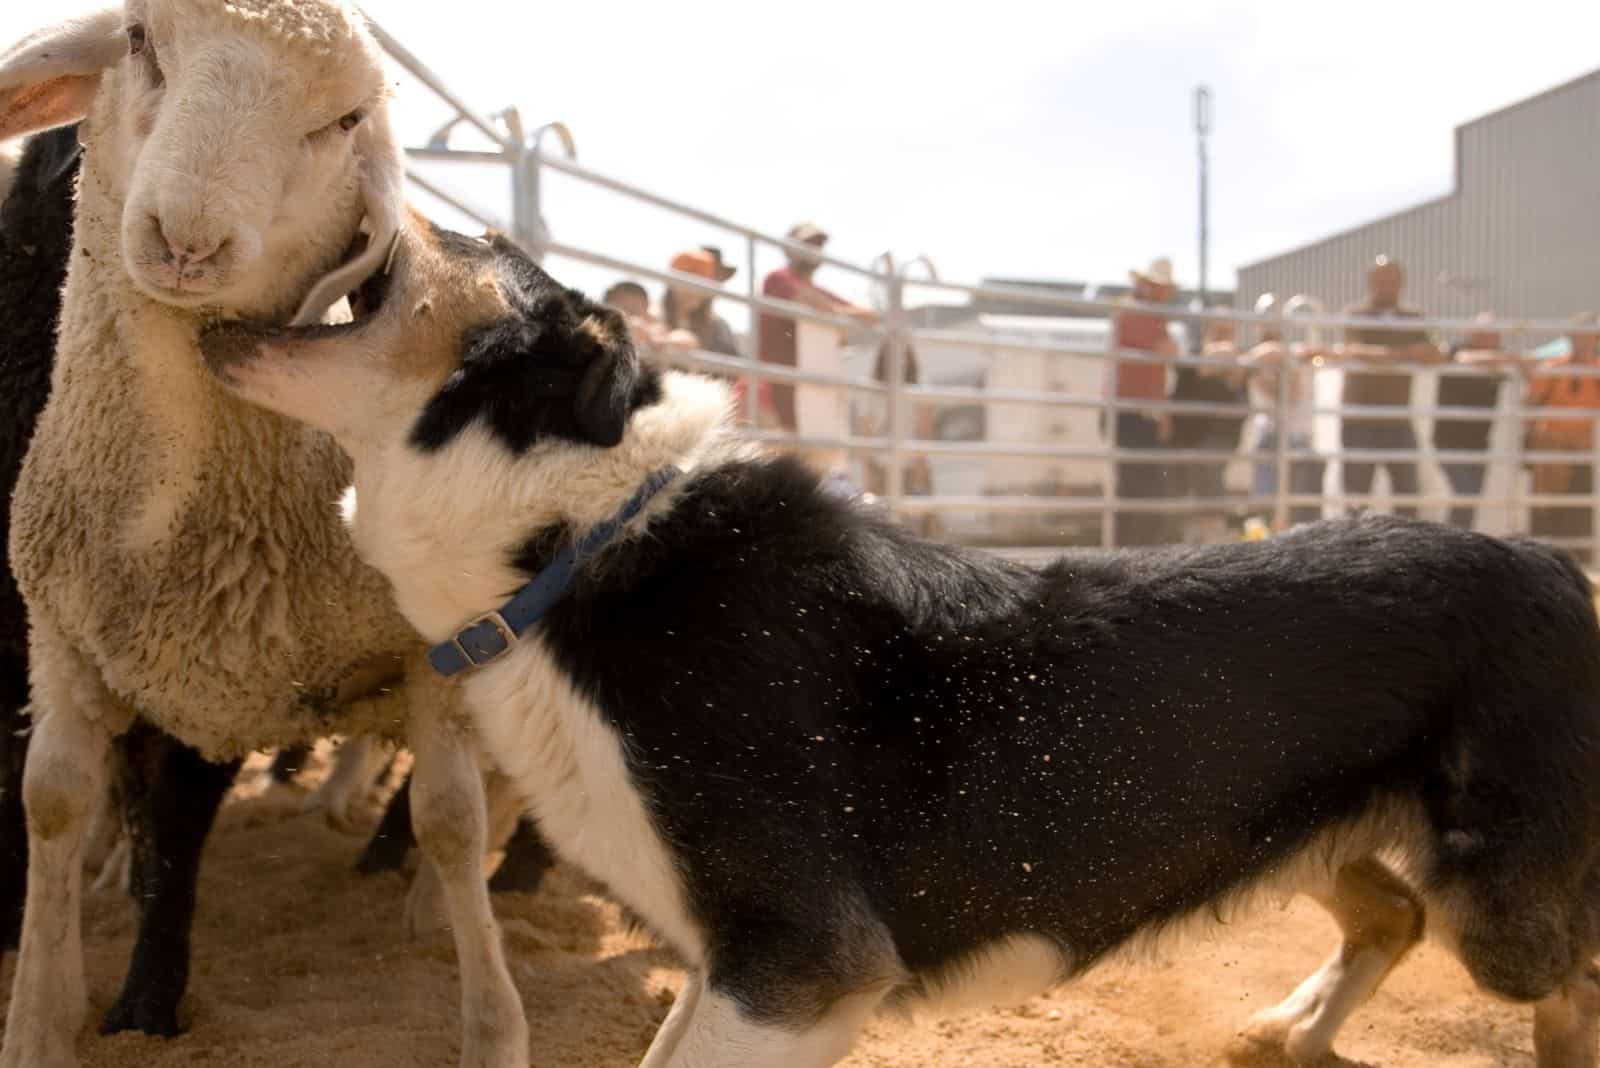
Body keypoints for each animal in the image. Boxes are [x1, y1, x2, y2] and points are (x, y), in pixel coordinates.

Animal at [0, 4, 524, 1061]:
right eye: (138, 41)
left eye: (347, 119)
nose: (187, 239)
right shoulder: (60, 633)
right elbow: (57, 799)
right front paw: (41, 1017)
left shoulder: (436, 650)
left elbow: (450, 814)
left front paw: (492, 1024)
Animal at [200, 219, 1600, 1068]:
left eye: (482, 241)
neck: (575, 542)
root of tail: (1556, 564)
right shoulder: (727, 964)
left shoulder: (796, 970)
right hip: (1293, 824)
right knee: (1387, 913)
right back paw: (1290, 1028)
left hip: (1500, 905)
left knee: (1559, 982)